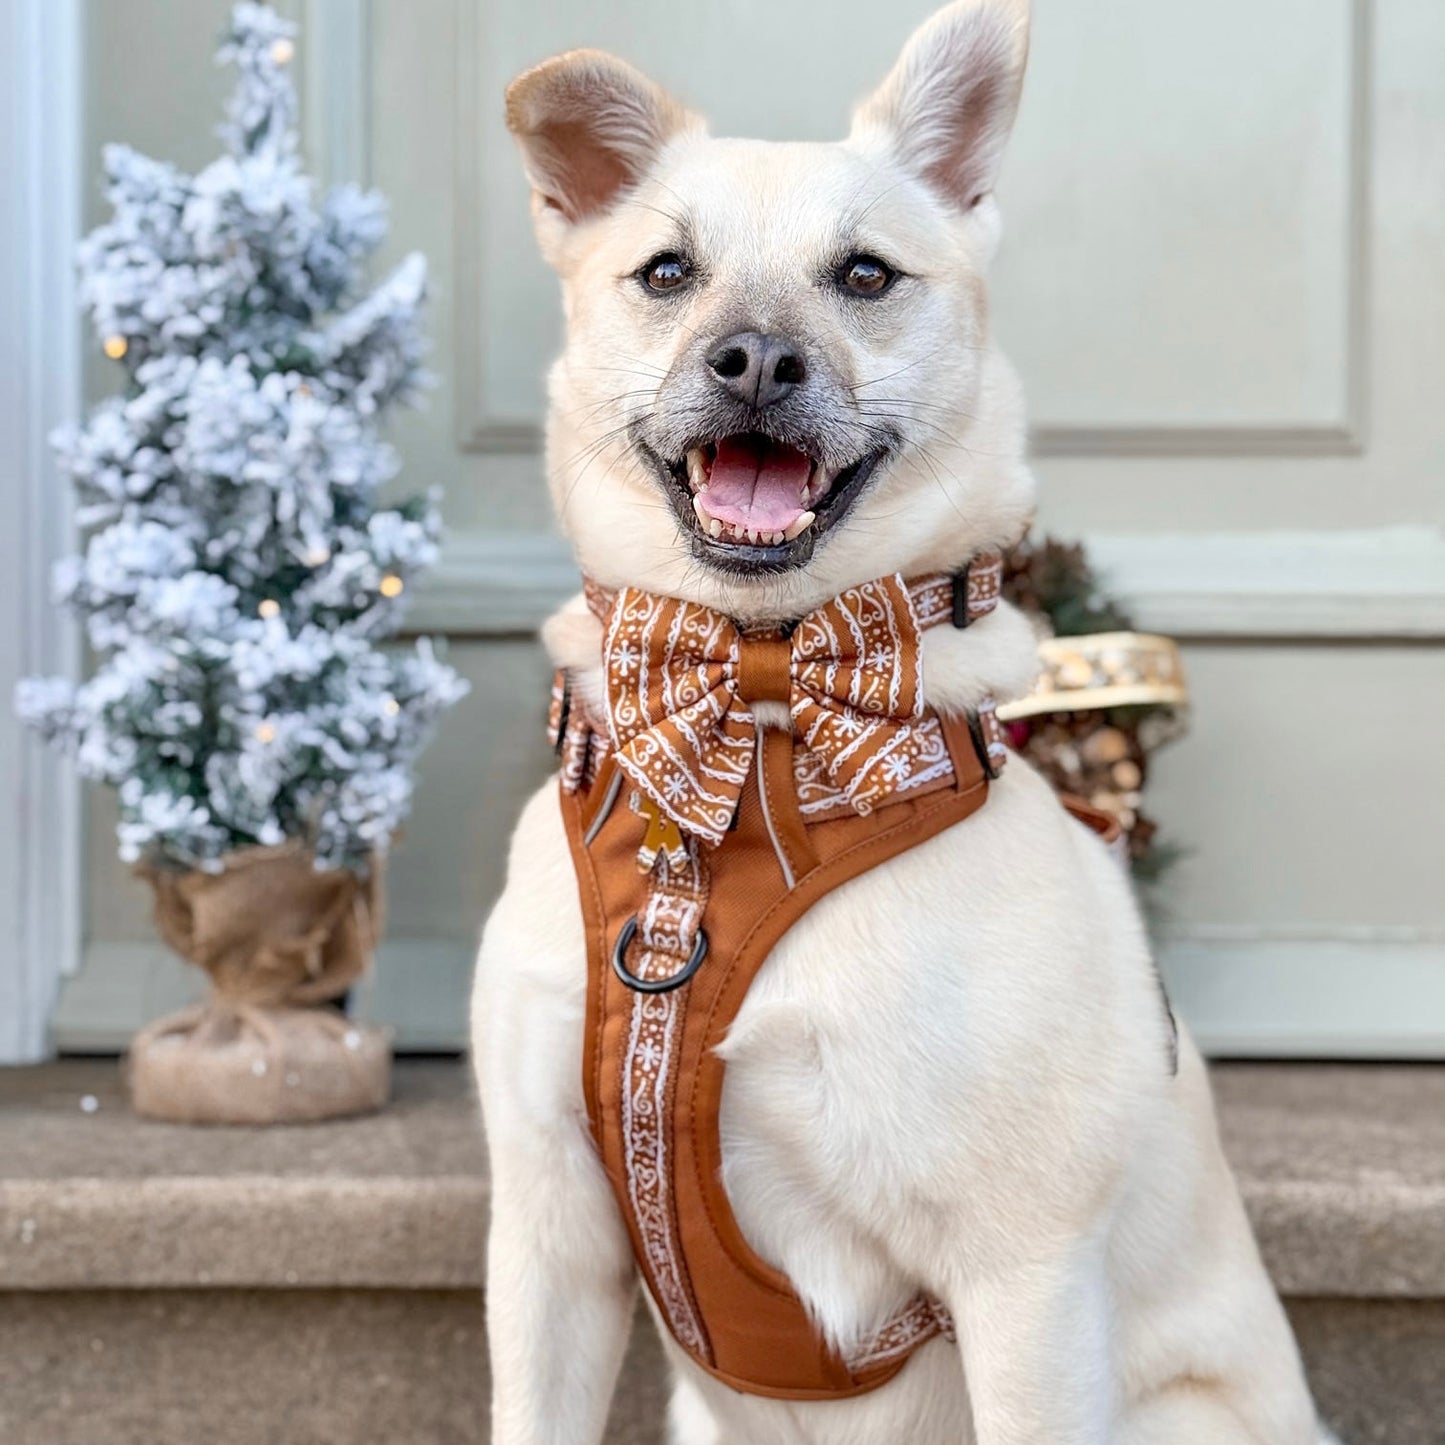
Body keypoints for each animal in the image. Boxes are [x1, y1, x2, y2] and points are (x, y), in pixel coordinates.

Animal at [471, 5, 1329, 1439]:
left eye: (865, 276)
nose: (756, 360)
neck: (757, 707)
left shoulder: (1023, 1275)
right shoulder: (550, 1240)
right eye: (665, 272)